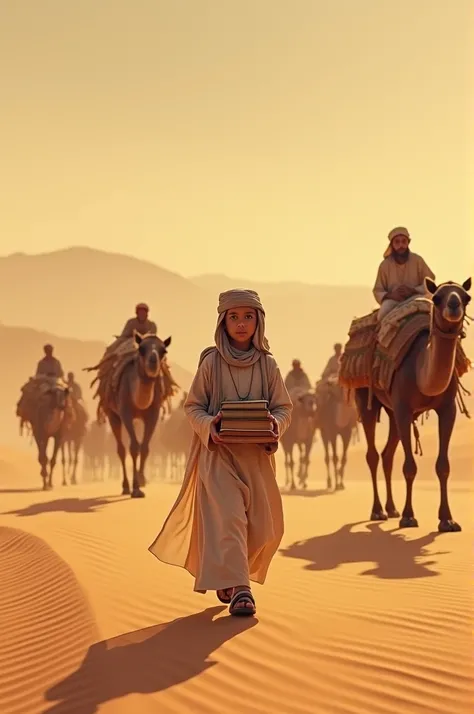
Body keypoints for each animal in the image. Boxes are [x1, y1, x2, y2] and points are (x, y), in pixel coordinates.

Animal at [99, 332, 171, 496]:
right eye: (142, 349)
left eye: (163, 351)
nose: (153, 362)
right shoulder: (125, 413)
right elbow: (133, 447)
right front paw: (136, 488)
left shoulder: (153, 414)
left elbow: (144, 447)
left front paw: (141, 480)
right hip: (113, 414)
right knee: (120, 449)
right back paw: (125, 486)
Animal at [356, 276, 470, 528]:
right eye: (437, 297)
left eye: (466, 297)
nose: (454, 305)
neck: (420, 368)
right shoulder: (403, 409)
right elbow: (409, 466)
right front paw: (409, 516)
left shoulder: (447, 409)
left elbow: (443, 466)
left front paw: (447, 520)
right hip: (364, 395)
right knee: (372, 454)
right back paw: (378, 511)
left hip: (391, 412)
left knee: (387, 454)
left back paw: (391, 508)